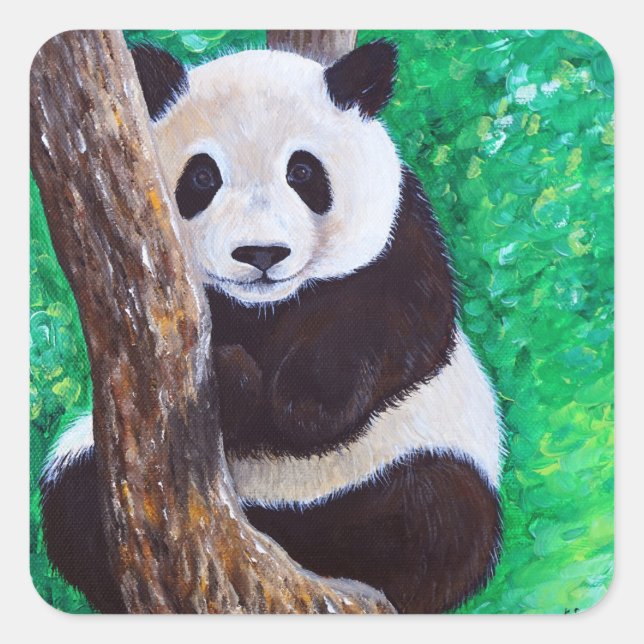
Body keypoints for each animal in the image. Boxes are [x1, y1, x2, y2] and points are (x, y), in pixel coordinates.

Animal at [39, 40, 504, 614]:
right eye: (202, 177)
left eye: (302, 172)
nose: (260, 253)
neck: (264, 309)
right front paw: (230, 376)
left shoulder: (400, 237)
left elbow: (394, 323)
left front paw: (286, 398)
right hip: (94, 462)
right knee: (74, 500)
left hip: (420, 452)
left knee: (435, 513)